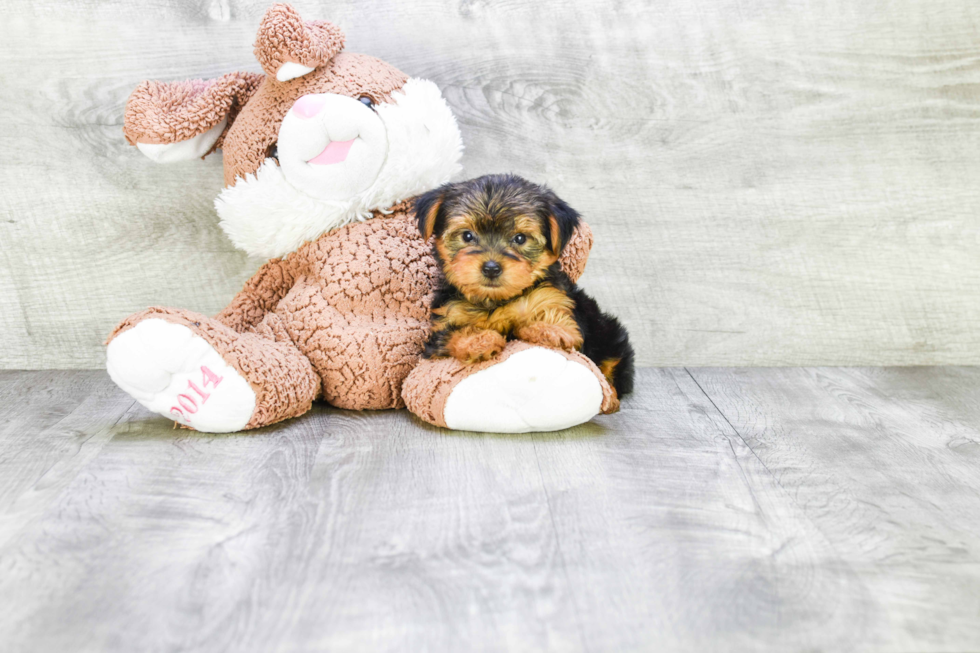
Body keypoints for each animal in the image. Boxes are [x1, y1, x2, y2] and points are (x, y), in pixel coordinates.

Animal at [414, 173, 636, 408]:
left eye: (520, 238)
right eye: (467, 236)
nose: (491, 268)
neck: (496, 300)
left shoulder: (552, 297)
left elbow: (558, 321)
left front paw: (550, 329)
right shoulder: (445, 320)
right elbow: (452, 334)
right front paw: (479, 341)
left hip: (609, 334)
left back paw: (610, 397)